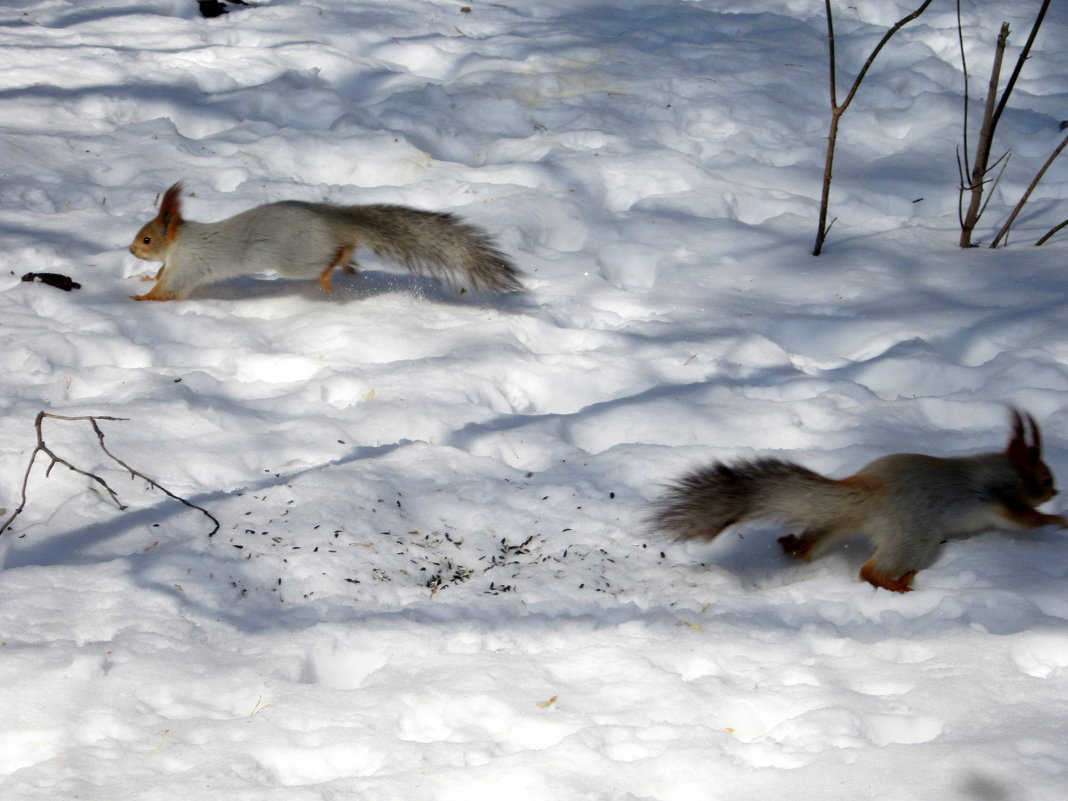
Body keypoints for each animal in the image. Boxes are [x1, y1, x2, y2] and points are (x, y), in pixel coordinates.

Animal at [127, 183, 523, 303]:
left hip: (296, 260)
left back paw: (332, 272)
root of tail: (332, 220)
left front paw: (139, 300)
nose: (130, 251)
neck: (179, 243)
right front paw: (144, 278)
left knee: (331, 255)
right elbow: (160, 276)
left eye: (147, 238)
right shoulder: (173, 264)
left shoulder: (188, 267)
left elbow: (169, 290)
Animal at [649, 410, 1068, 593]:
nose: (1055, 492)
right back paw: (901, 583)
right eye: (1045, 478)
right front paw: (1059, 522)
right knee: (870, 571)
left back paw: (794, 545)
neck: (1007, 467)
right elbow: (1023, 519)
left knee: (810, 545)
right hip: (913, 538)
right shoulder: (1001, 495)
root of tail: (866, 491)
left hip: (840, 524)